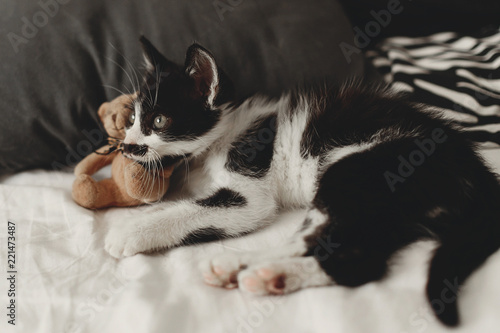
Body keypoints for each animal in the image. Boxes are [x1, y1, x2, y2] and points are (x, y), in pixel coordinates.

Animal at [104, 36, 500, 324]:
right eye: (132, 119)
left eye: (159, 122)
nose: (127, 146)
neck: (223, 135)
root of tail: (475, 168)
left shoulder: (249, 183)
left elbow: (195, 210)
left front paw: (130, 231)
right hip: (390, 206)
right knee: (358, 257)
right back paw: (258, 271)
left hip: (359, 169)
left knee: (336, 246)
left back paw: (255, 269)